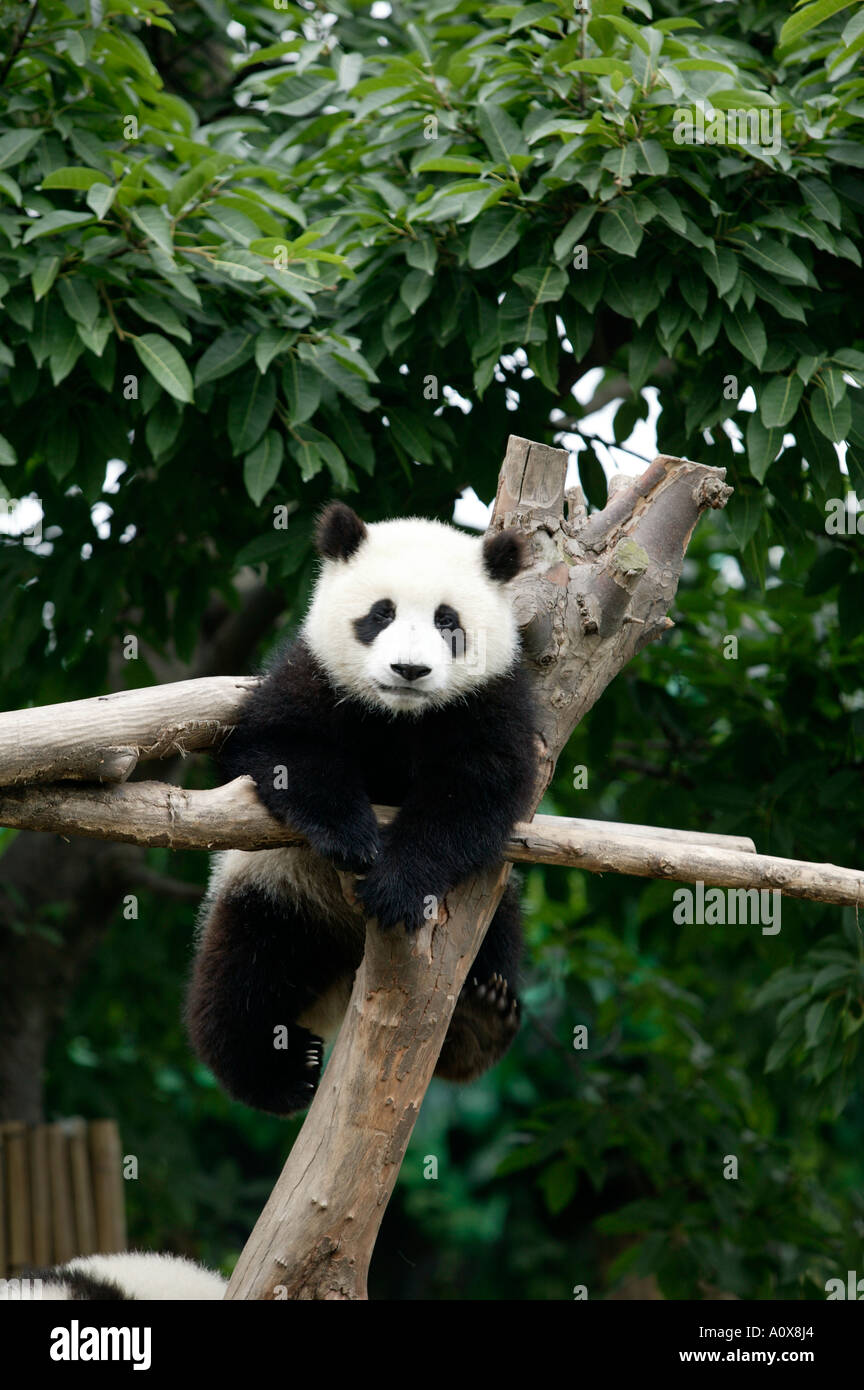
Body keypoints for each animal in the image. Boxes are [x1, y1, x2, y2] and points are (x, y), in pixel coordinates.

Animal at [186, 505, 538, 1112]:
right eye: (381, 613)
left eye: (448, 621)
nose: (409, 670)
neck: (400, 714)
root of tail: (340, 990)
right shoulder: (311, 671)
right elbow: (282, 746)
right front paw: (352, 838)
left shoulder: (491, 698)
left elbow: (476, 791)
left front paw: (395, 885)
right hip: (276, 892)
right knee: (241, 977)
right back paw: (282, 1071)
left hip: (489, 911)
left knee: (493, 946)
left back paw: (478, 1021)